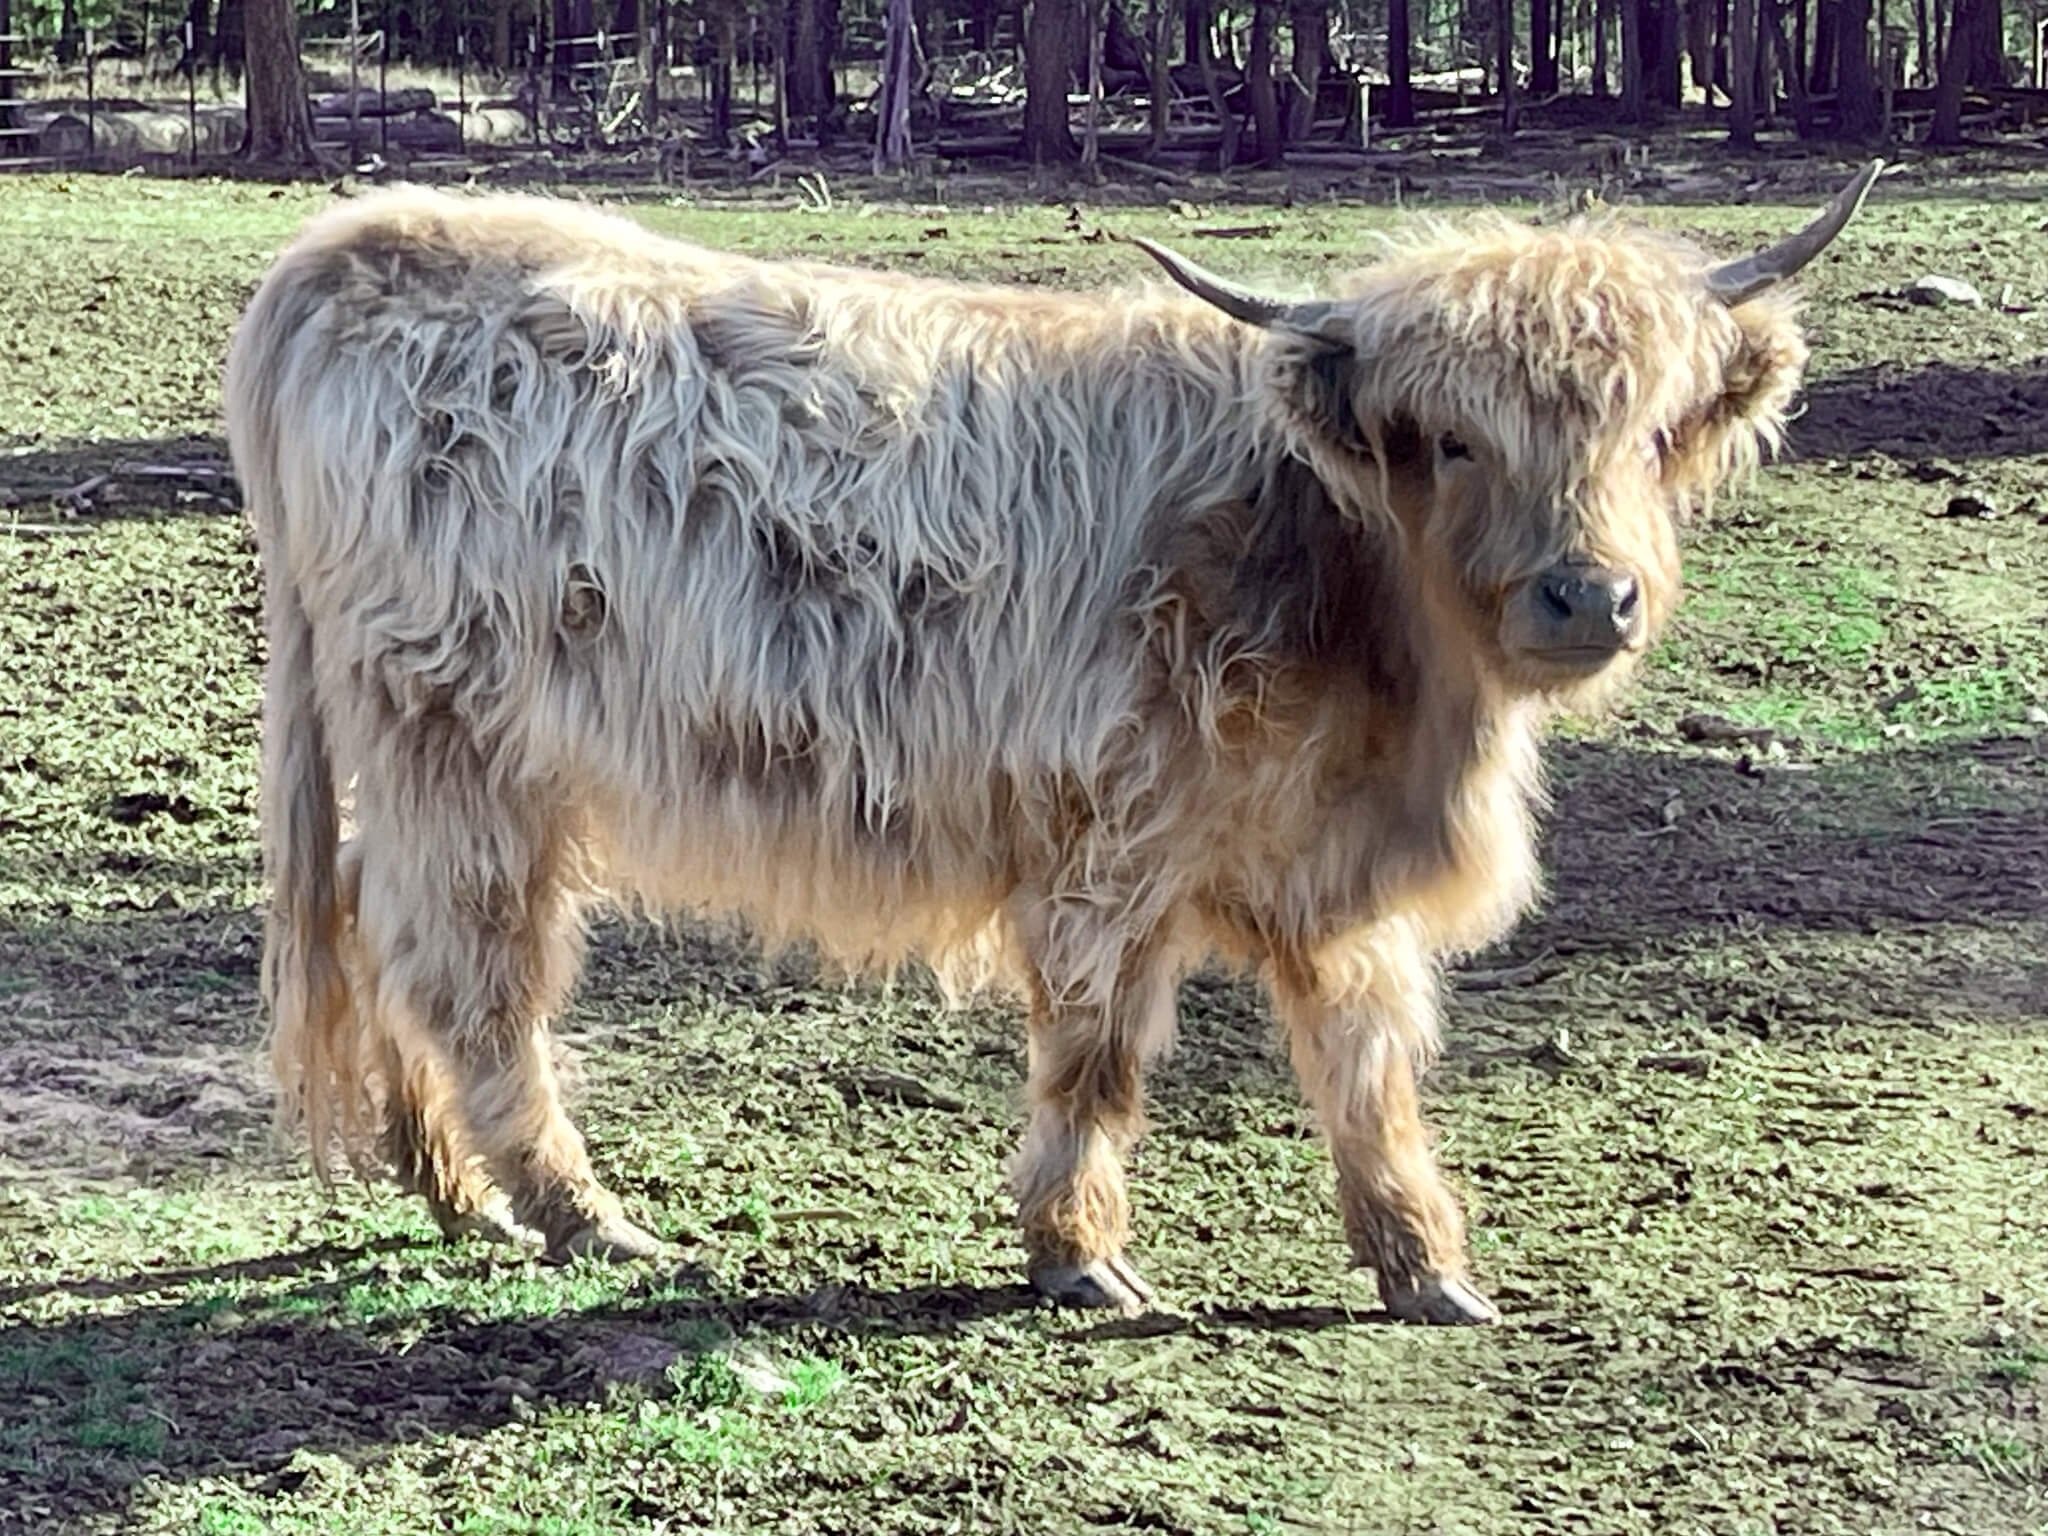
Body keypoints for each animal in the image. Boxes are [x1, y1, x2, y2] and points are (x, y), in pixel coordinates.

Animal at [226, 162, 1880, 1325]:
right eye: (1453, 439)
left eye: (1651, 432)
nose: (1588, 594)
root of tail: (367, 237)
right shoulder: (1114, 846)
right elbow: (1097, 1057)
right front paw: (1077, 1254)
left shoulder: (1325, 871)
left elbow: (1365, 1064)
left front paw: (1423, 1265)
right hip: (458, 736)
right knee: (471, 968)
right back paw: (572, 1209)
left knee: (374, 923)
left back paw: (449, 1187)